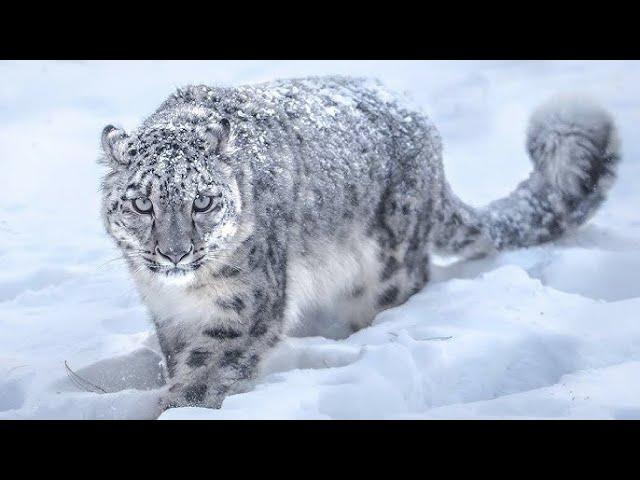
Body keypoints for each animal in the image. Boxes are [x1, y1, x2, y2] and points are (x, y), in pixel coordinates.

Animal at [100, 76, 620, 412]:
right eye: (142, 204)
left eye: (203, 201)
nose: (175, 253)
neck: (185, 294)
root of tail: (426, 132)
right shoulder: (170, 314)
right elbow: (182, 358)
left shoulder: (244, 306)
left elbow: (205, 372)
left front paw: (176, 405)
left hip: (389, 267)